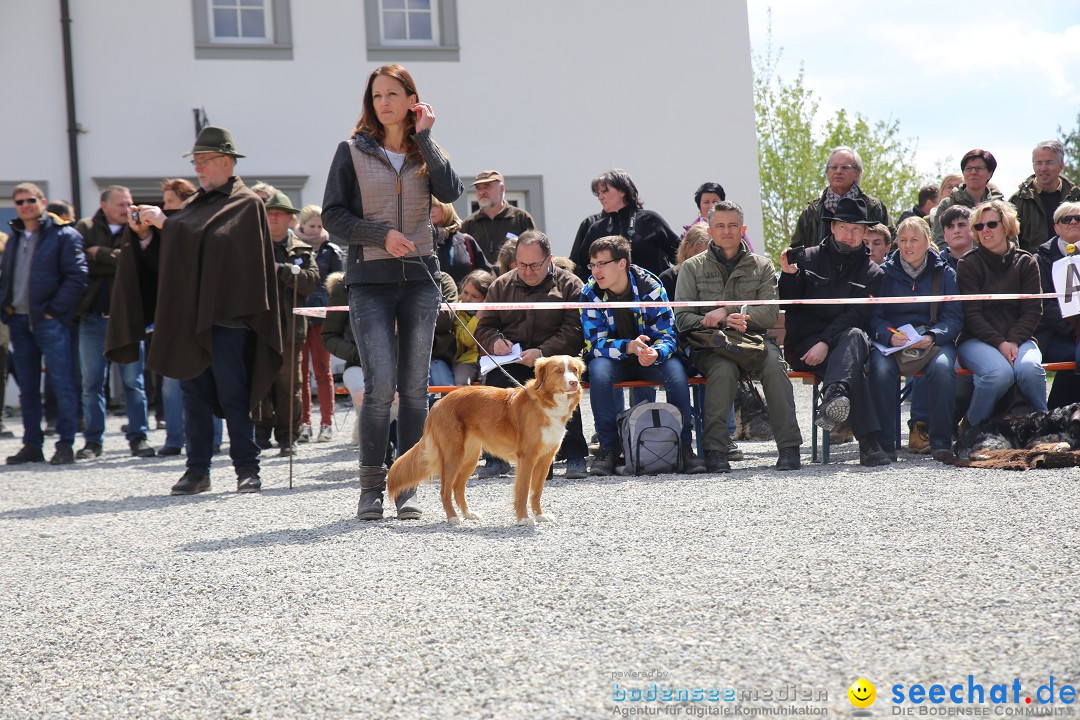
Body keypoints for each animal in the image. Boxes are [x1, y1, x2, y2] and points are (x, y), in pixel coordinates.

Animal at [388, 358, 587, 526]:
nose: (574, 383)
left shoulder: (545, 459)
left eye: (574, 370)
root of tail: (438, 404)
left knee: (457, 488)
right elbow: (523, 491)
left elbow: (536, 491)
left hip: (470, 458)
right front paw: (523, 518)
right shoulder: (527, 458)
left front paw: (540, 515)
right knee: (445, 490)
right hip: (453, 455)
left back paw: (468, 514)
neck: (545, 403)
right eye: (558, 371)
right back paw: (453, 518)